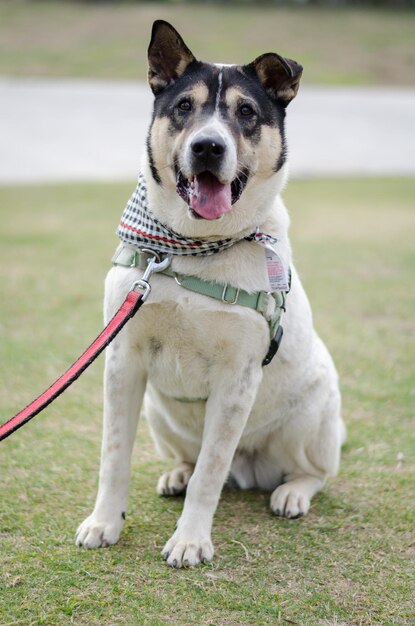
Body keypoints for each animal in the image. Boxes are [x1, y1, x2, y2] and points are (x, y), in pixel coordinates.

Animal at [76, 18, 346, 564]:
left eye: (246, 113)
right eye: (184, 106)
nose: (207, 147)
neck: (192, 248)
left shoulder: (237, 378)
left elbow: (211, 474)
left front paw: (190, 539)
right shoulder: (123, 361)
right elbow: (113, 458)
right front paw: (104, 522)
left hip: (312, 415)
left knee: (311, 472)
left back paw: (291, 493)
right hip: (159, 414)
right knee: (190, 460)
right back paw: (177, 474)